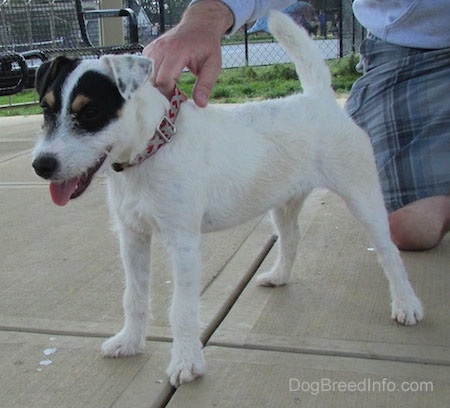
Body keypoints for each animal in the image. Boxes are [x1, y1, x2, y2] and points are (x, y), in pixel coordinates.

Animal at [31, 10, 422, 386]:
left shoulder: (183, 243)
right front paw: (129, 342)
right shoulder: (133, 237)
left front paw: (186, 362)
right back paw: (279, 276)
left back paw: (406, 305)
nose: (41, 165)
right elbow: (134, 297)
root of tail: (320, 99)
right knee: (291, 238)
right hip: (284, 203)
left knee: (389, 252)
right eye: (46, 109)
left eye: (90, 112)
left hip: (363, 197)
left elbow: (182, 310)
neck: (152, 149)